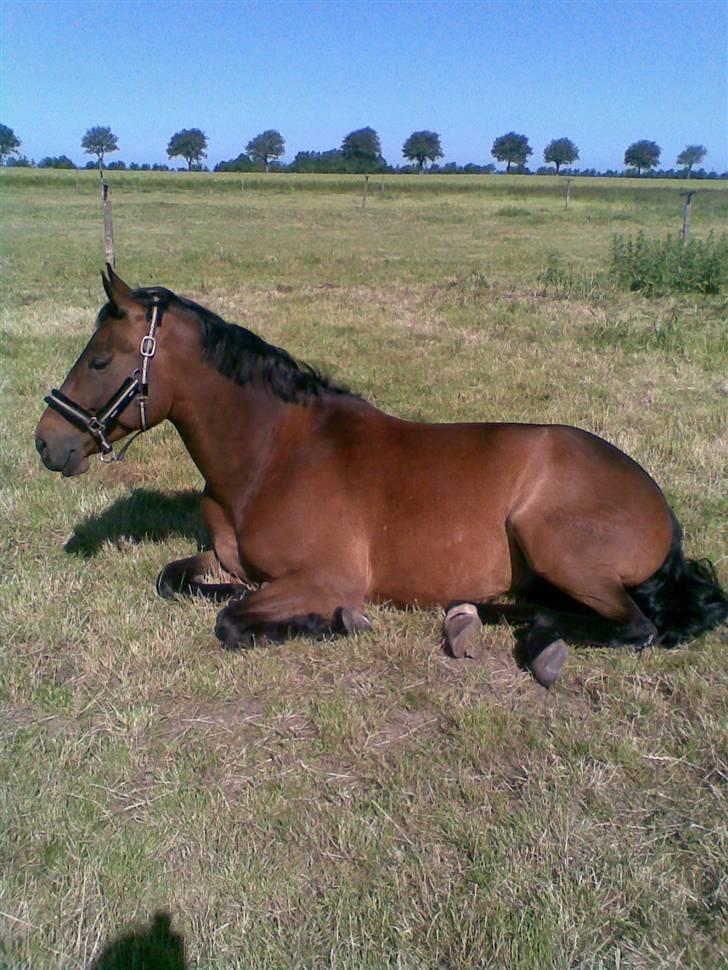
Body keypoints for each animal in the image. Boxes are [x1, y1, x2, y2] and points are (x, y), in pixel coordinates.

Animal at [35, 268, 728, 684]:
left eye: (100, 360)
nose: (47, 443)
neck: (273, 456)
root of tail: (659, 506)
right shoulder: (226, 559)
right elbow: (177, 581)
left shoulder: (324, 577)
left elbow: (231, 620)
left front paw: (335, 621)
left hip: (551, 542)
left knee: (635, 626)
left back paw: (538, 640)